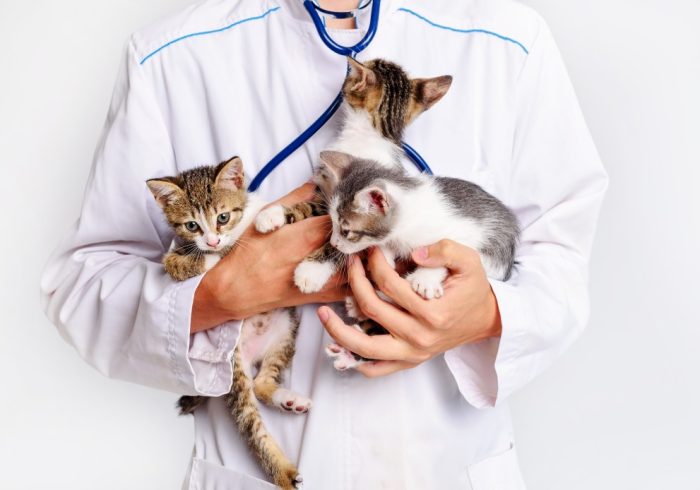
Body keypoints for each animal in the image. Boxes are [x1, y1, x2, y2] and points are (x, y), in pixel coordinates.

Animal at [148, 158, 306, 490]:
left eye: (223, 217)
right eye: (191, 225)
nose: (212, 239)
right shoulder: (174, 256)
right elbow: (180, 263)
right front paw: (212, 257)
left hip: (285, 331)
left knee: (262, 384)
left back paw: (287, 399)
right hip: (233, 368)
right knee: (250, 417)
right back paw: (284, 472)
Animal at [318, 151, 520, 370]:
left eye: (346, 231)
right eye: (332, 222)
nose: (334, 243)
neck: (408, 221)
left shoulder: (469, 237)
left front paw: (425, 279)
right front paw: (385, 255)